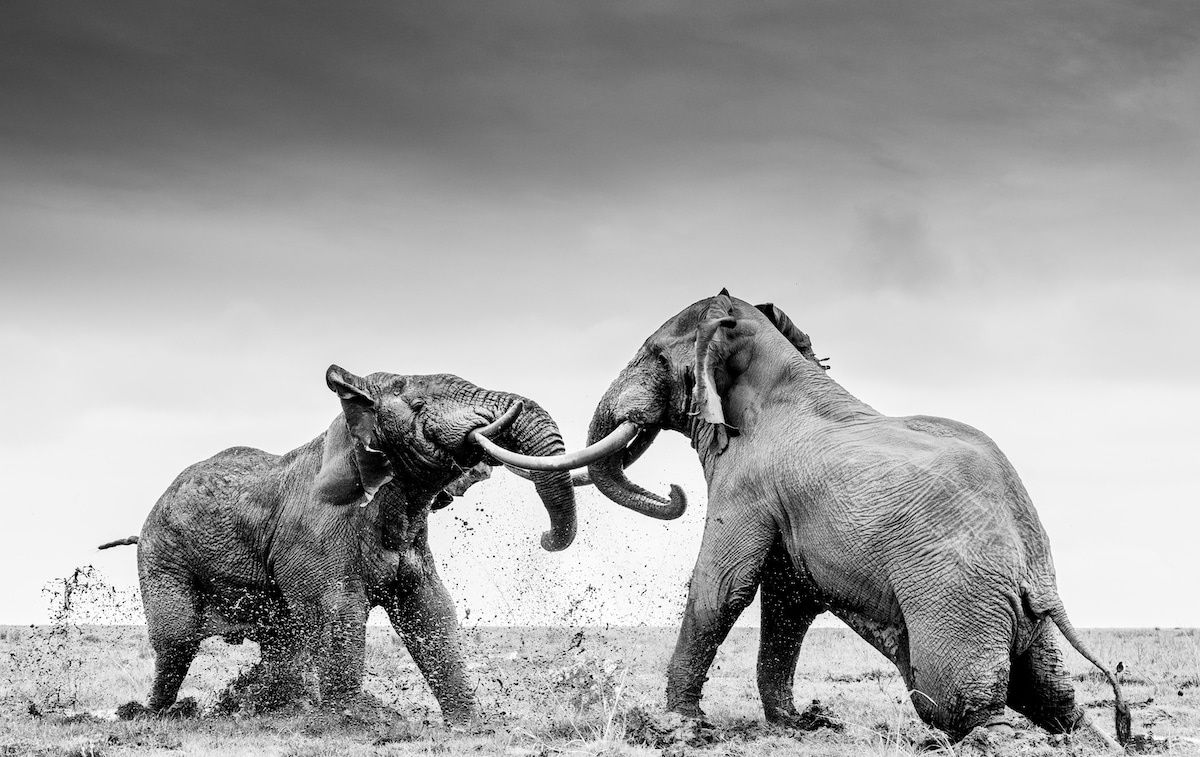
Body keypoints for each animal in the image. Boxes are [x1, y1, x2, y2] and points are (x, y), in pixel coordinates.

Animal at [100, 367, 578, 729]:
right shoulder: (316, 530)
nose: (545, 538)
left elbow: (431, 609)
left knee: (280, 639)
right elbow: (338, 609)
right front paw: (358, 722)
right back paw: (152, 714)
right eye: (418, 405)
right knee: (177, 641)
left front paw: (470, 727)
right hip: (163, 556)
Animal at [566, 292, 1128, 748]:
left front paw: (679, 726)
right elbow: (788, 600)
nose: (671, 490)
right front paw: (797, 725)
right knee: (1053, 696)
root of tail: (1039, 575)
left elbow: (723, 586)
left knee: (953, 699)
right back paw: (1093, 739)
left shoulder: (747, 483)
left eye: (653, 356)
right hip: (1015, 612)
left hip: (959, 600)